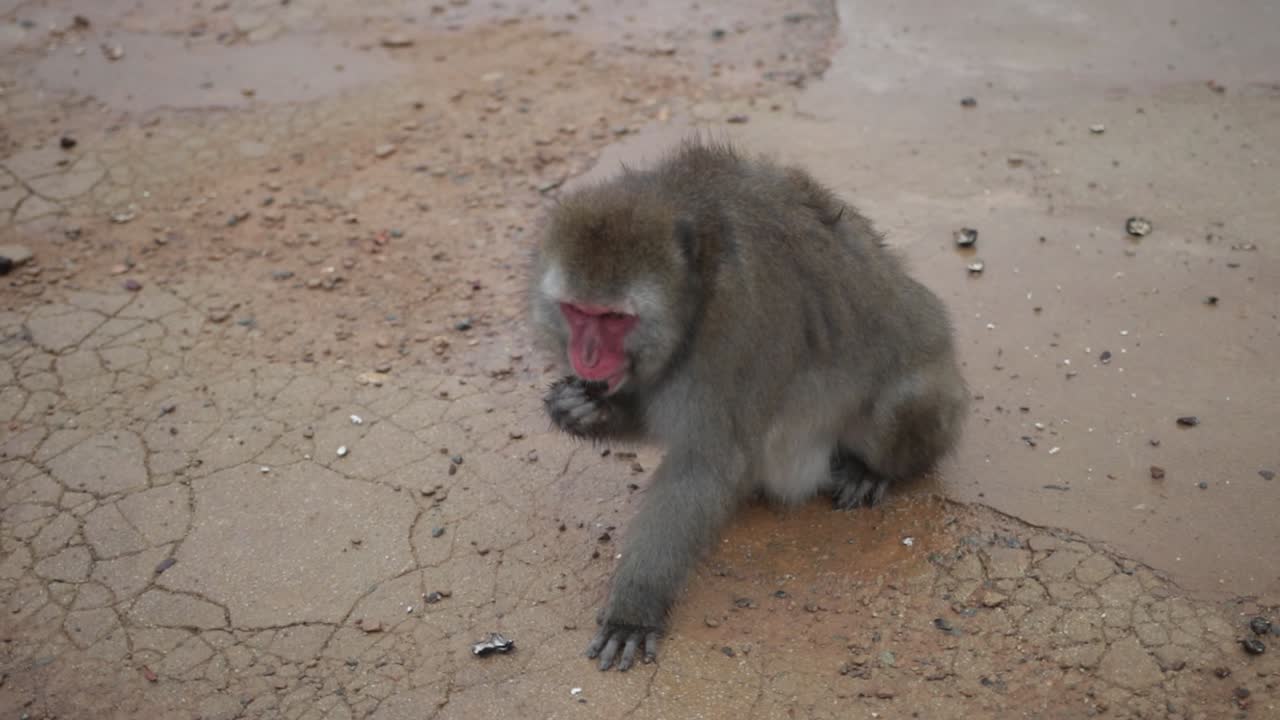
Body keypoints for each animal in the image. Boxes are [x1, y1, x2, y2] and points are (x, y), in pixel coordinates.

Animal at [529, 139, 968, 671]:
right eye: (577, 312)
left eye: (614, 319)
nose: (586, 357)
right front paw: (579, 409)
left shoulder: (732, 328)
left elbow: (704, 461)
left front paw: (635, 608)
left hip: (933, 400)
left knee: (901, 406)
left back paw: (872, 470)